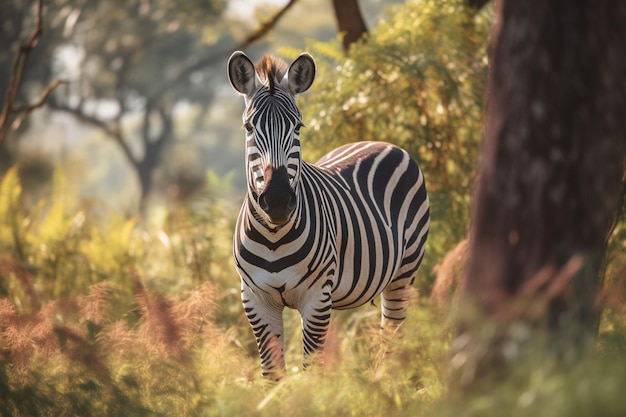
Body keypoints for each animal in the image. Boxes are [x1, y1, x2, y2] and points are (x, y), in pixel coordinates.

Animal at [227, 51, 426, 376]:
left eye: (298, 127)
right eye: (248, 128)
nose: (278, 200)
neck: (273, 236)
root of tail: (379, 141)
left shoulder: (317, 298)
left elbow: (313, 374)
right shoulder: (255, 300)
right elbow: (272, 375)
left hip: (404, 271)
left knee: (392, 339)